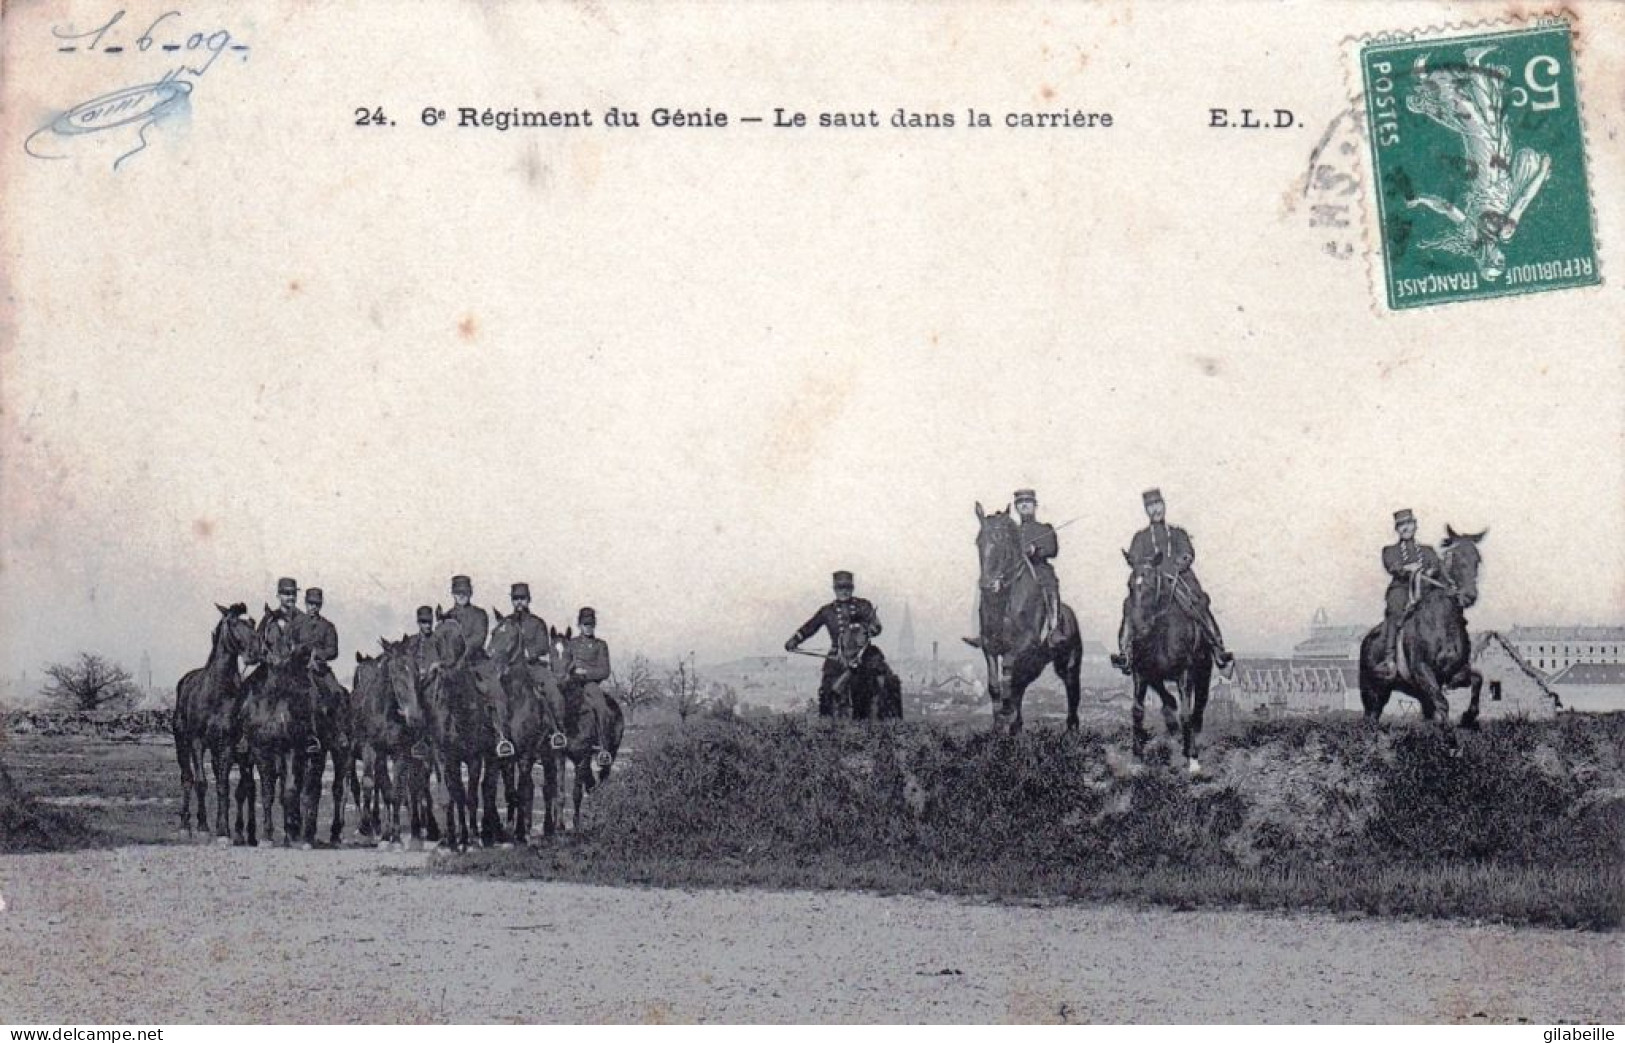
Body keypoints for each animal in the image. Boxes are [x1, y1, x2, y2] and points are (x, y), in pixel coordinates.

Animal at [172, 604, 256, 838]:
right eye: (234, 623)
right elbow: (201, 782)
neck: (217, 691)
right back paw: (185, 824)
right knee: (187, 777)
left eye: (253, 622)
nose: (255, 653)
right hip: (182, 744)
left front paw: (223, 829)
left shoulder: (226, 744)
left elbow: (223, 785)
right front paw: (202, 826)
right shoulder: (197, 742)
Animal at [546, 623, 620, 828]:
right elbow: (560, 793)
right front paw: (559, 826)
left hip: (609, 754)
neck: (573, 714)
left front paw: (576, 825)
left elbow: (576, 793)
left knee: (602, 780)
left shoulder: (584, 756)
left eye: (569, 653)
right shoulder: (560, 755)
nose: (561, 679)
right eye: (551, 651)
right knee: (592, 783)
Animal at [955, 500, 1085, 731]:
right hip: (1034, 663)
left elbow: (1007, 679)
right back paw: (1016, 725)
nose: (987, 585)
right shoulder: (989, 647)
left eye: (1002, 541)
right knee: (1021, 686)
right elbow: (994, 685)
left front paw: (1006, 713)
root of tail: (1070, 615)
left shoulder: (1018, 647)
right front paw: (998, 723)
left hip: (1068, 664)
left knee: (1072, 690)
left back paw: (1071, 727)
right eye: (978, 541)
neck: (1004, 602)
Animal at [1124, 549, 1215, 766]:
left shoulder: (1185, 673)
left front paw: (1193, 758)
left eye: (1151, 585)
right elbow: (1137, 710)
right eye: (1129, 585)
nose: (1138, 630)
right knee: (1168, 699)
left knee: (1199, 706)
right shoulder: (1141, 672)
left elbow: (1186, 714)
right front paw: (1136, 757)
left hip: (1204, 671)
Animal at [1358, 523, 1488, 727]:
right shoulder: (1423, 671)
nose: (1469, 596)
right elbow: (1442, 704)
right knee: (1371, 716)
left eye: (1478, 559)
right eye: (1453, 556)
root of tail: (1367, 639)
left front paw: (1469, 716)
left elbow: (1477, 679)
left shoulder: (1453, 673)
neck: (1442, 624)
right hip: (1372, 691)